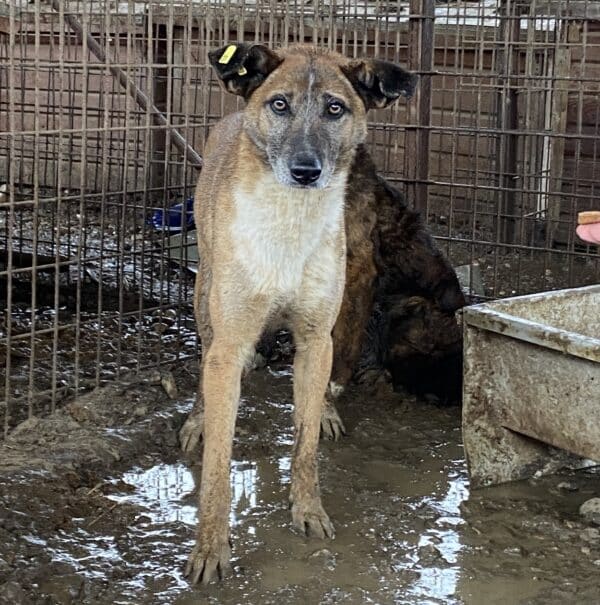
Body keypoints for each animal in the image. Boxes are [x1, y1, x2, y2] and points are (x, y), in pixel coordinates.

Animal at [182, 42, 418, 580]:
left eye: (335, 108)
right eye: (280, 104)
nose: (306, 171)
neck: (289, 222)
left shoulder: (315, 338)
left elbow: (305, 443)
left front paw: (307, 510)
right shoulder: (228, 345)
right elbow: (219, 466)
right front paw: (210, 547)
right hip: (205, 301)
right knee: (204, 362)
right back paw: (198, 419)